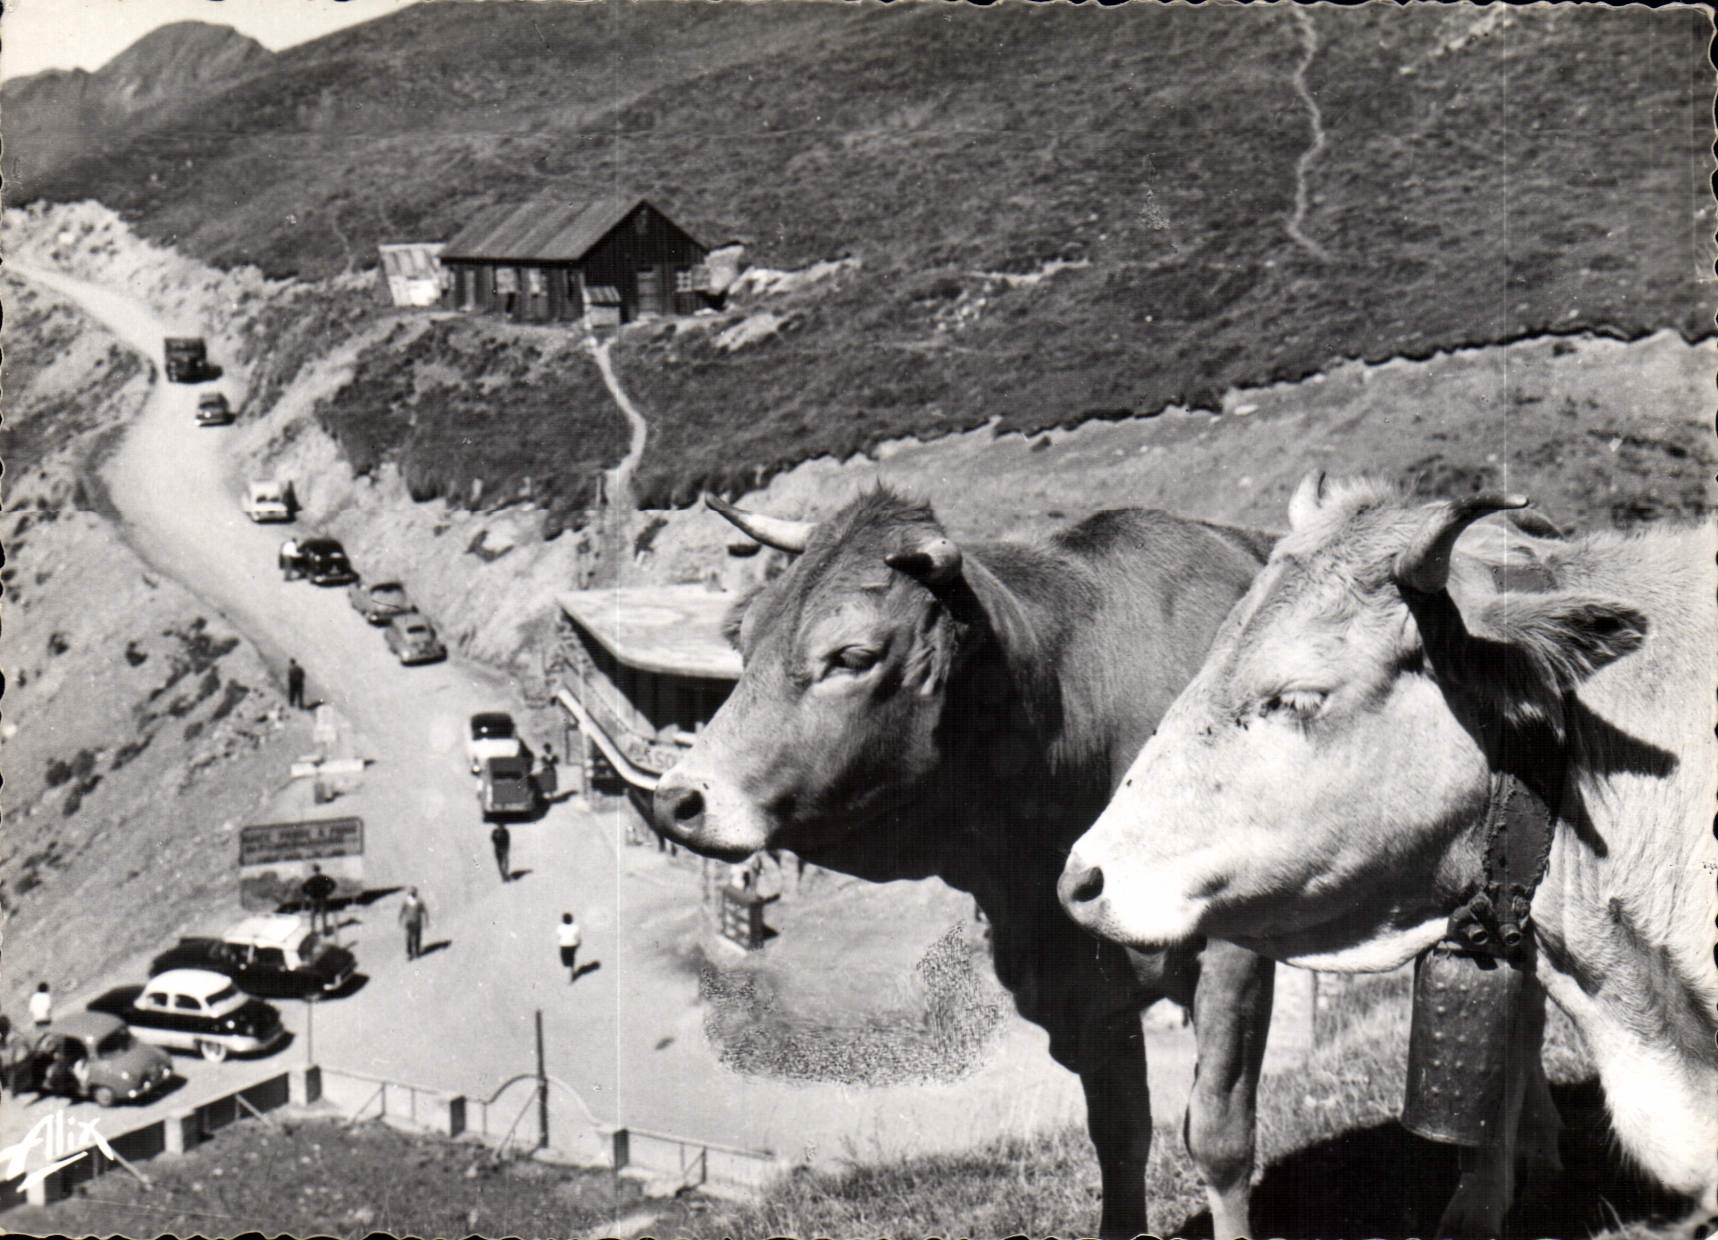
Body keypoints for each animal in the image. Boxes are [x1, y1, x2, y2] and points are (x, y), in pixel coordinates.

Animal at [651, 487, 1279, 1239]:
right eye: (743, 643)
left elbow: (1218, 1138)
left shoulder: (1235, 955)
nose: (677, 800)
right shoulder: (1084, 986)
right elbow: (1121, 1136)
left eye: (852, 656)